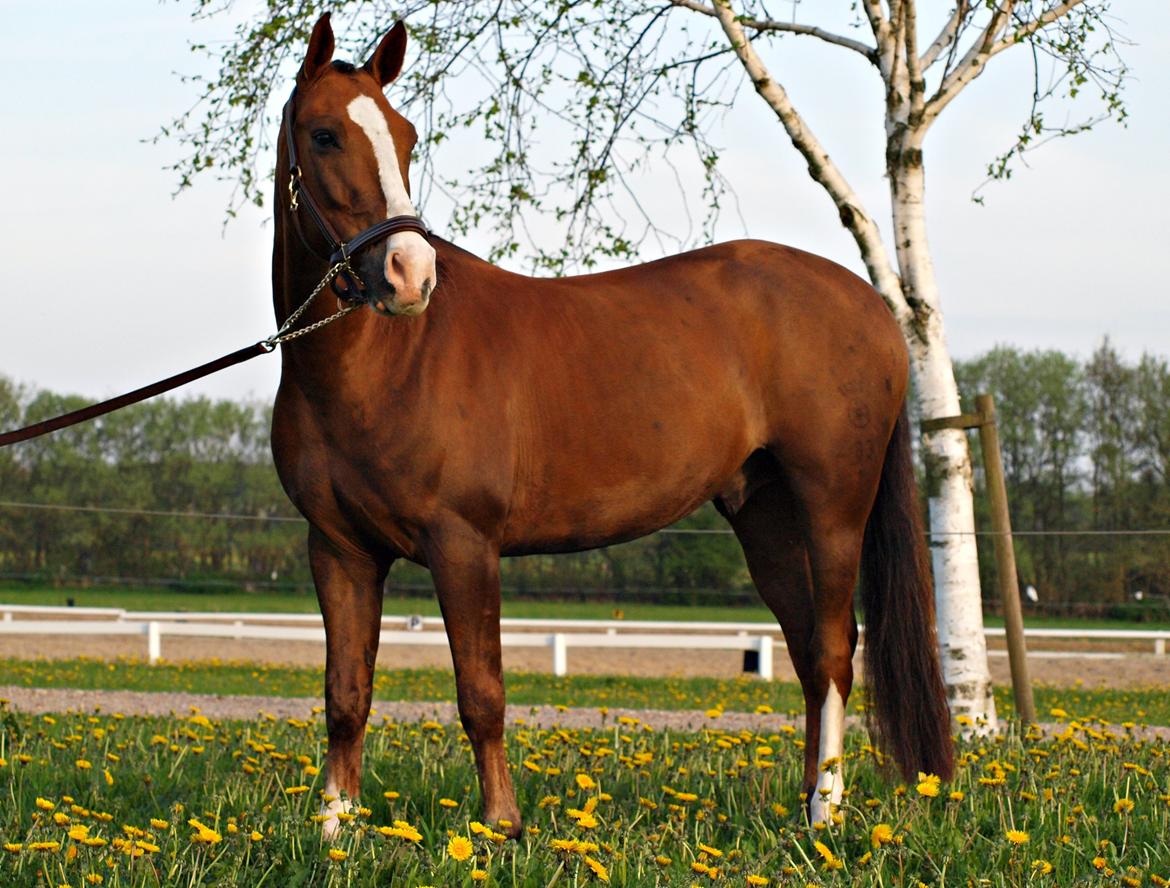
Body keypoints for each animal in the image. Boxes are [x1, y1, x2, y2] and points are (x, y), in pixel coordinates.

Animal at [271, 13, 953, 838]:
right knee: (802, 651)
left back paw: (827, 813)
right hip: (765, 515)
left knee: (830, 650)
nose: (409, 273)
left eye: (404, 137)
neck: (379, 367)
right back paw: (801, 808)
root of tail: (871, 305)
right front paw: (333, 833)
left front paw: (502, 828)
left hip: (834, 507)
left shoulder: (463, 542)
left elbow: (482, 694)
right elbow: (347, 695)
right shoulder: (339, 550)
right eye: (325, 135)